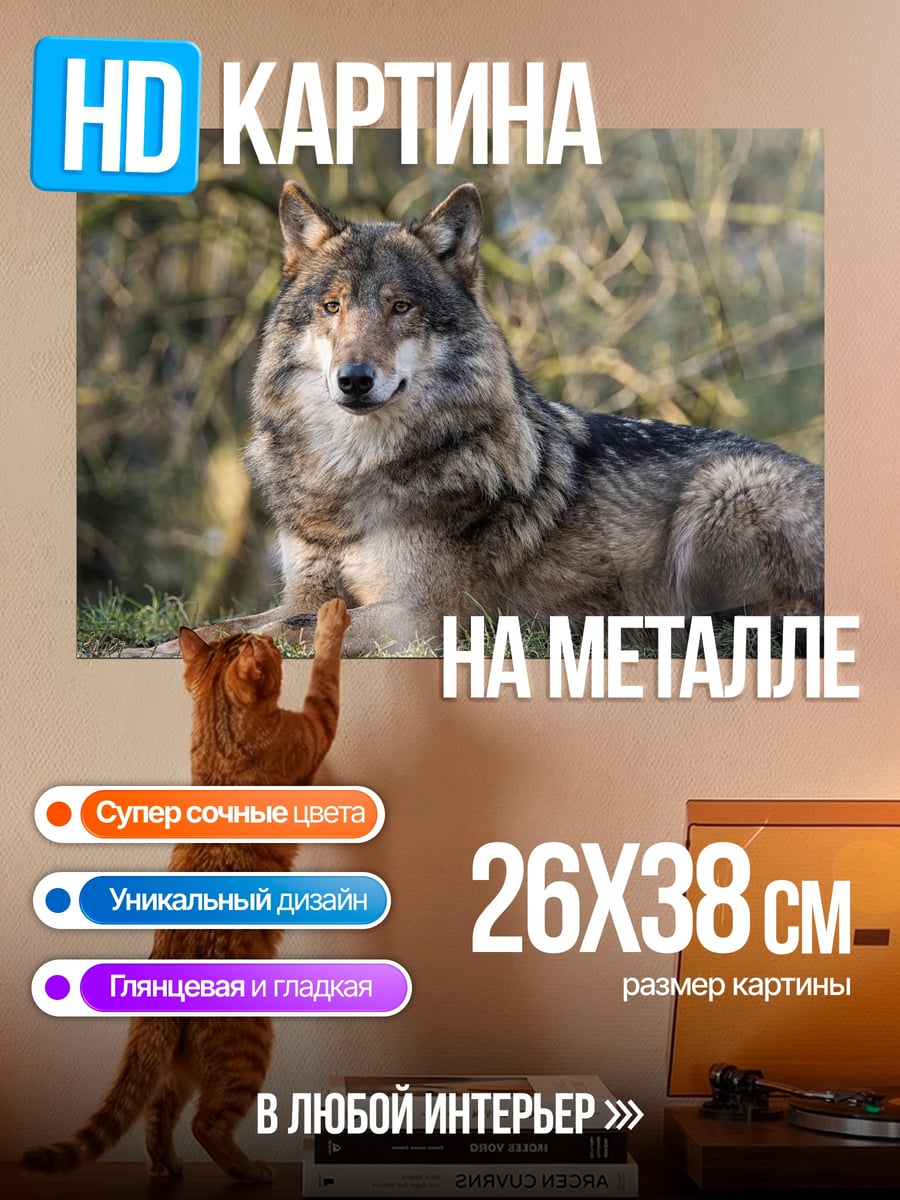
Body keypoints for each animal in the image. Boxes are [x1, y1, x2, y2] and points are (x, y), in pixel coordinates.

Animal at [140, 182, 823, 658]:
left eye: (400, 307)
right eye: (333, 307)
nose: (354, 379)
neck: (351, 475)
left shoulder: (425, 615)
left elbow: (290, 631)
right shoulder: (307, 590)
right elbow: (238, 622)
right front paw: (157, 645)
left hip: (724, 489)